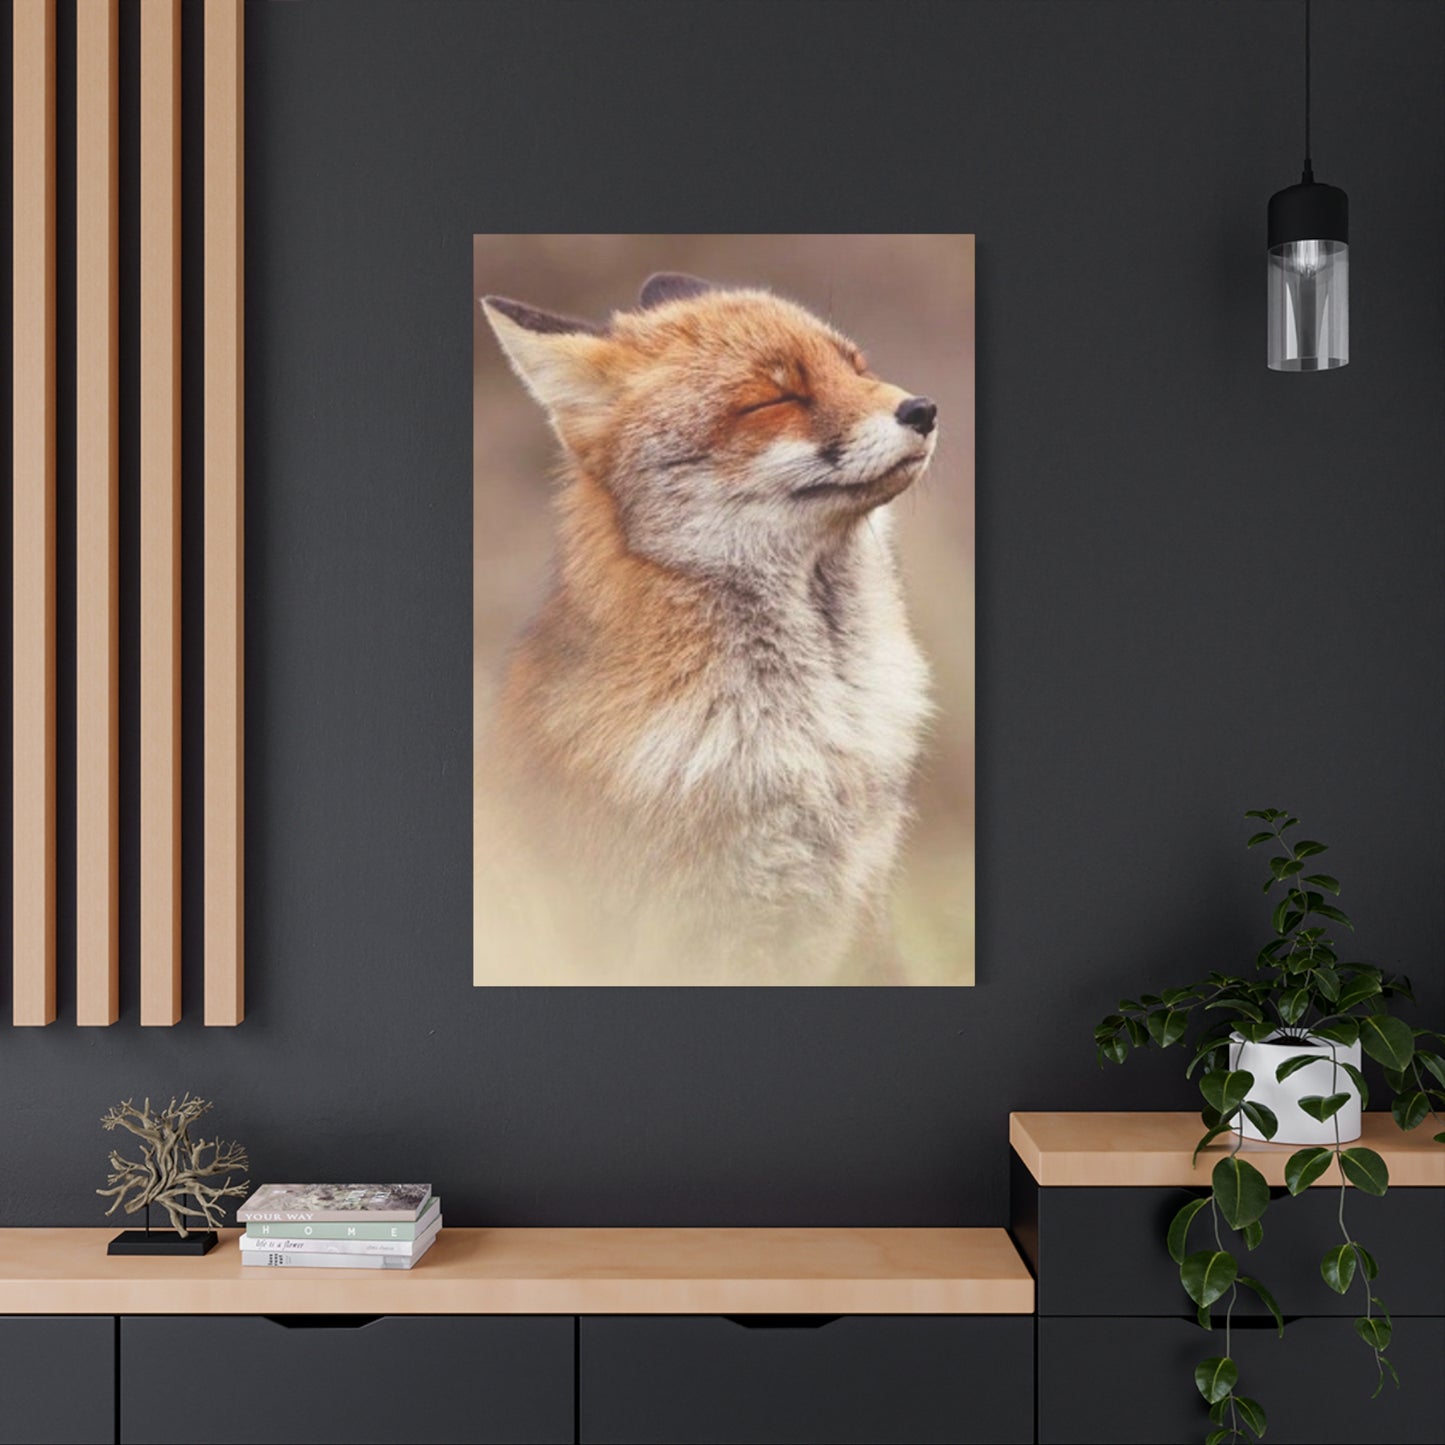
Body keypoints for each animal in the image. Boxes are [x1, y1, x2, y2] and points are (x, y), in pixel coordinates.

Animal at [475, 272, 937, 985]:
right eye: (776, 398)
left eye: (857, 367)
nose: (922, 409)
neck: (819, 733)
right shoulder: (702, 936)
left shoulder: (859, 907)